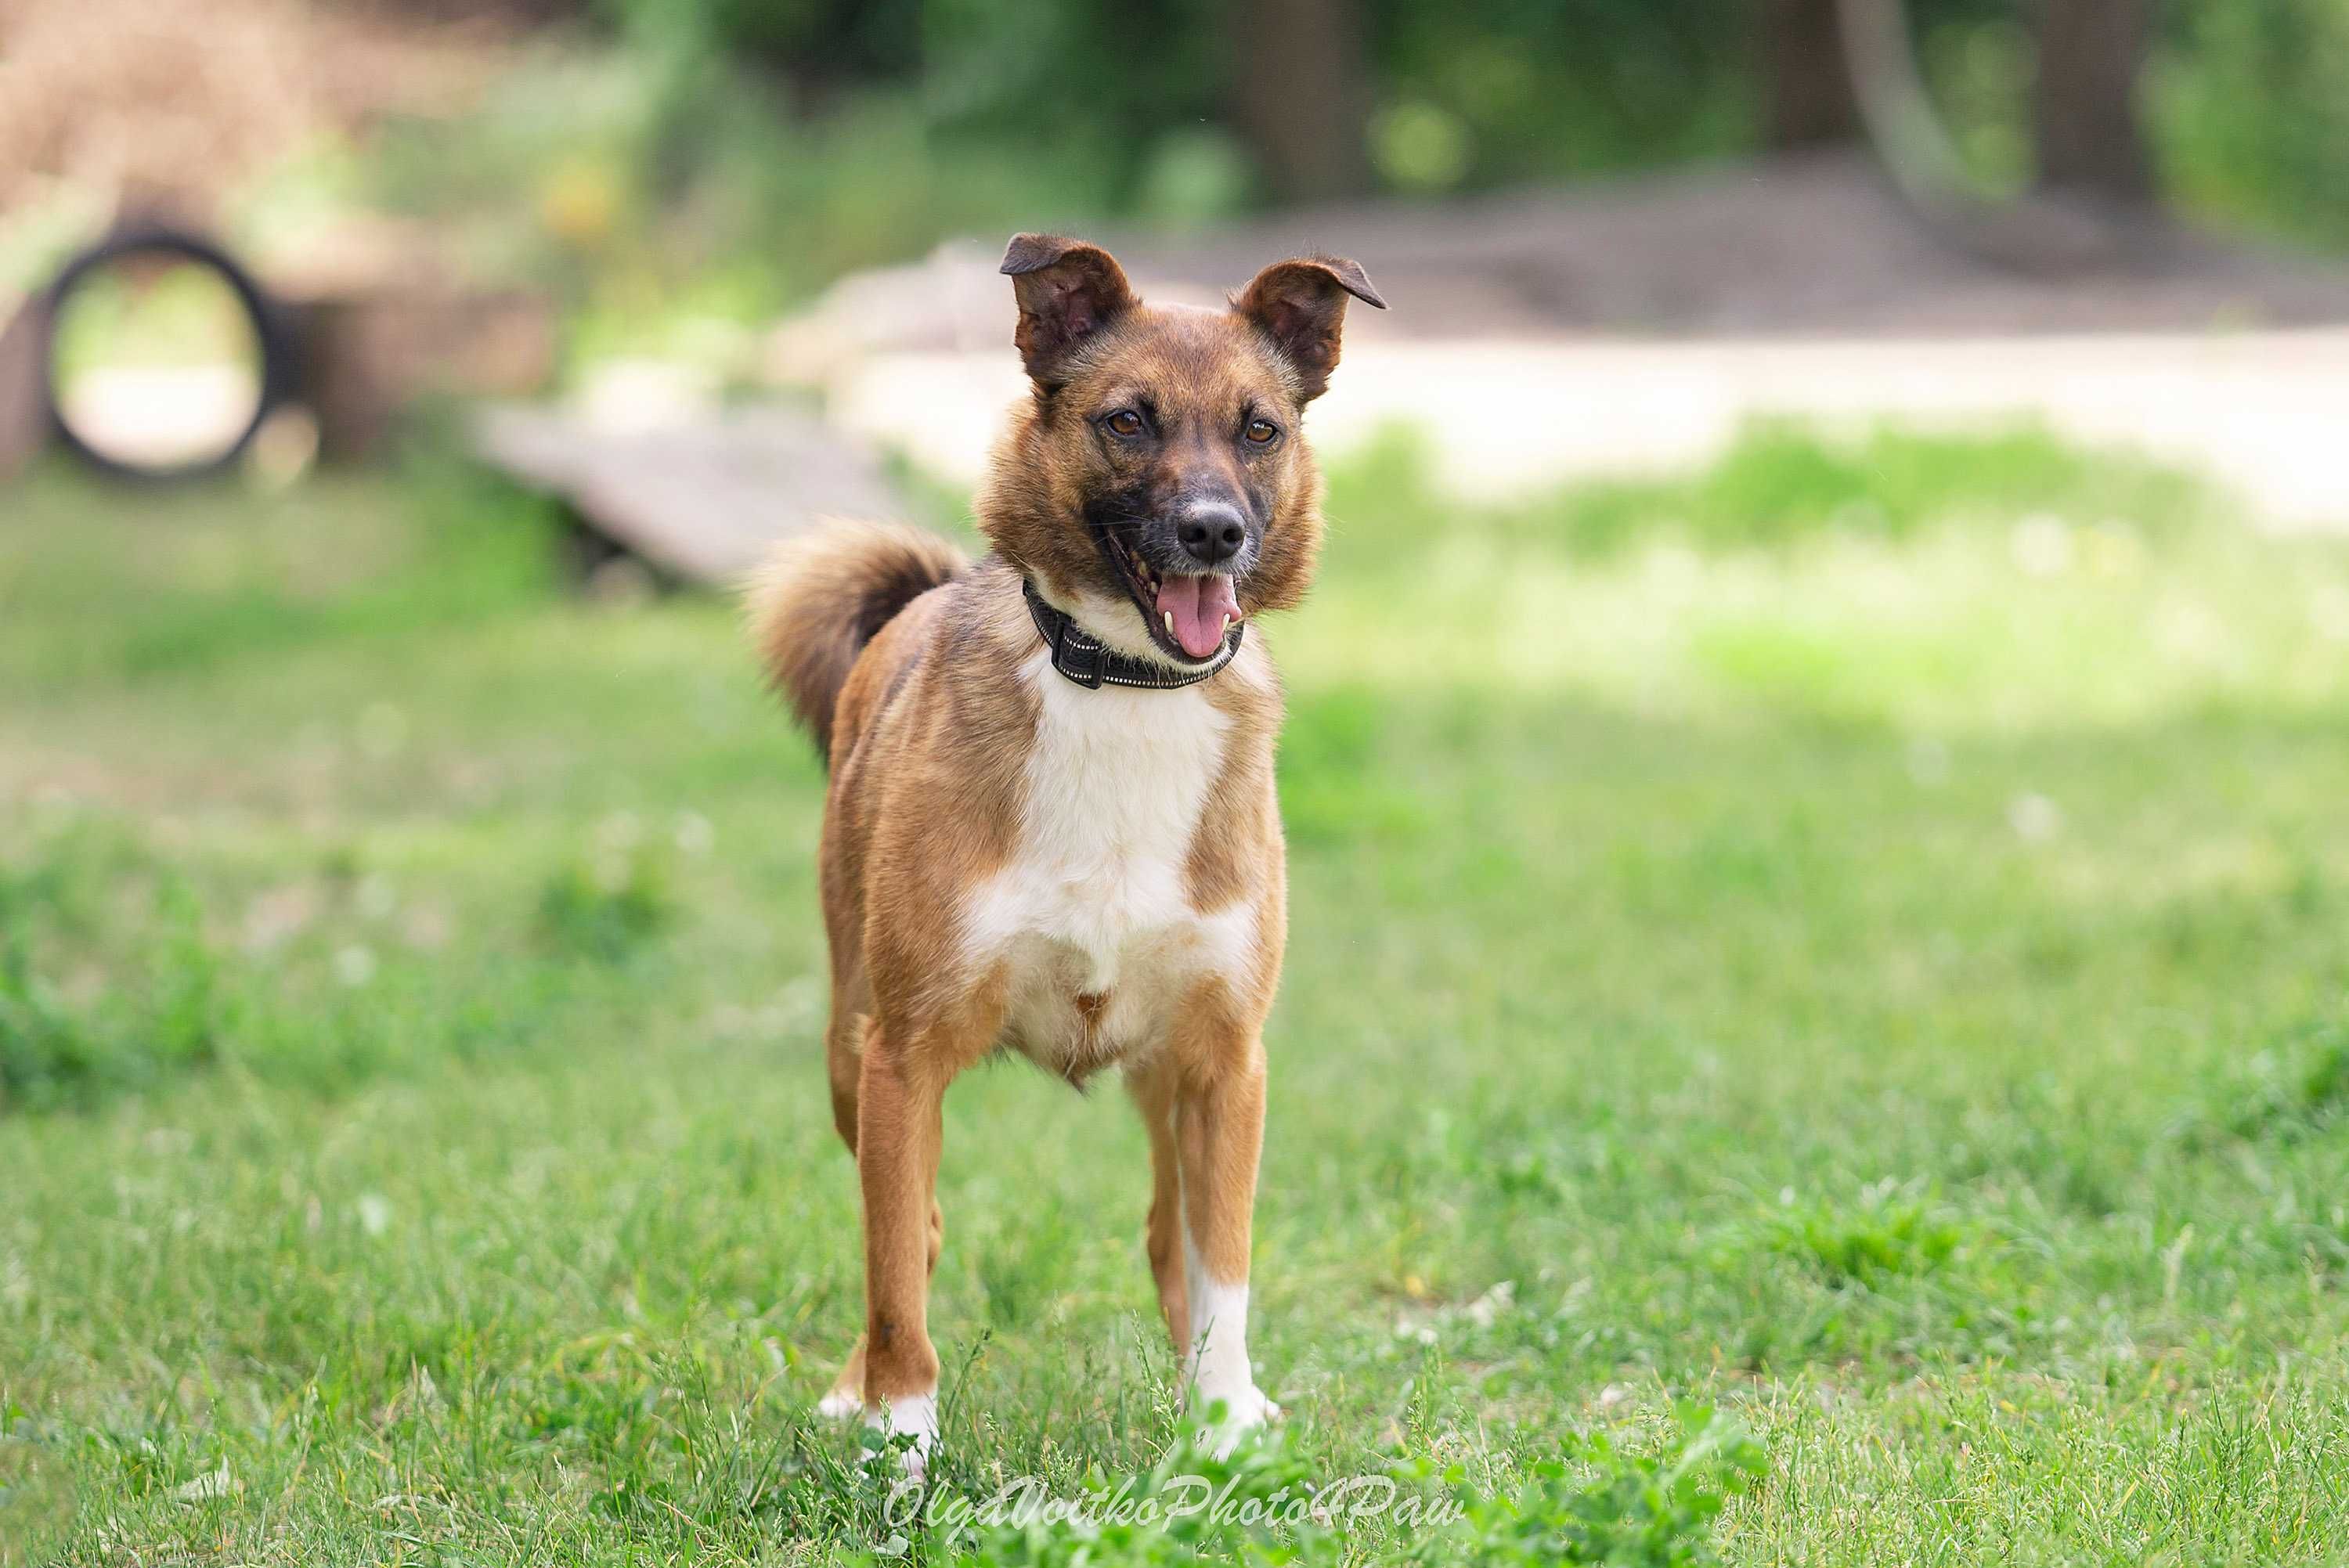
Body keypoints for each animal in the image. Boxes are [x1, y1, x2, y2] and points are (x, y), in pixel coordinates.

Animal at [747, 232, 1372, 1474]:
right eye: (1127, 419)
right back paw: (852, 1389)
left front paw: (1224, 1426)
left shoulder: (1227, 1063)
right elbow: (898, 1272)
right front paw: (901, 1443)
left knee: (1167, 1236)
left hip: (1164, 1082)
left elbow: (1222, 1269)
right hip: (848, 1044)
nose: (1216, 531)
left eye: (1260, 429)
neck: (1125, 684)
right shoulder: (906, 1056)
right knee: (913, 1236)